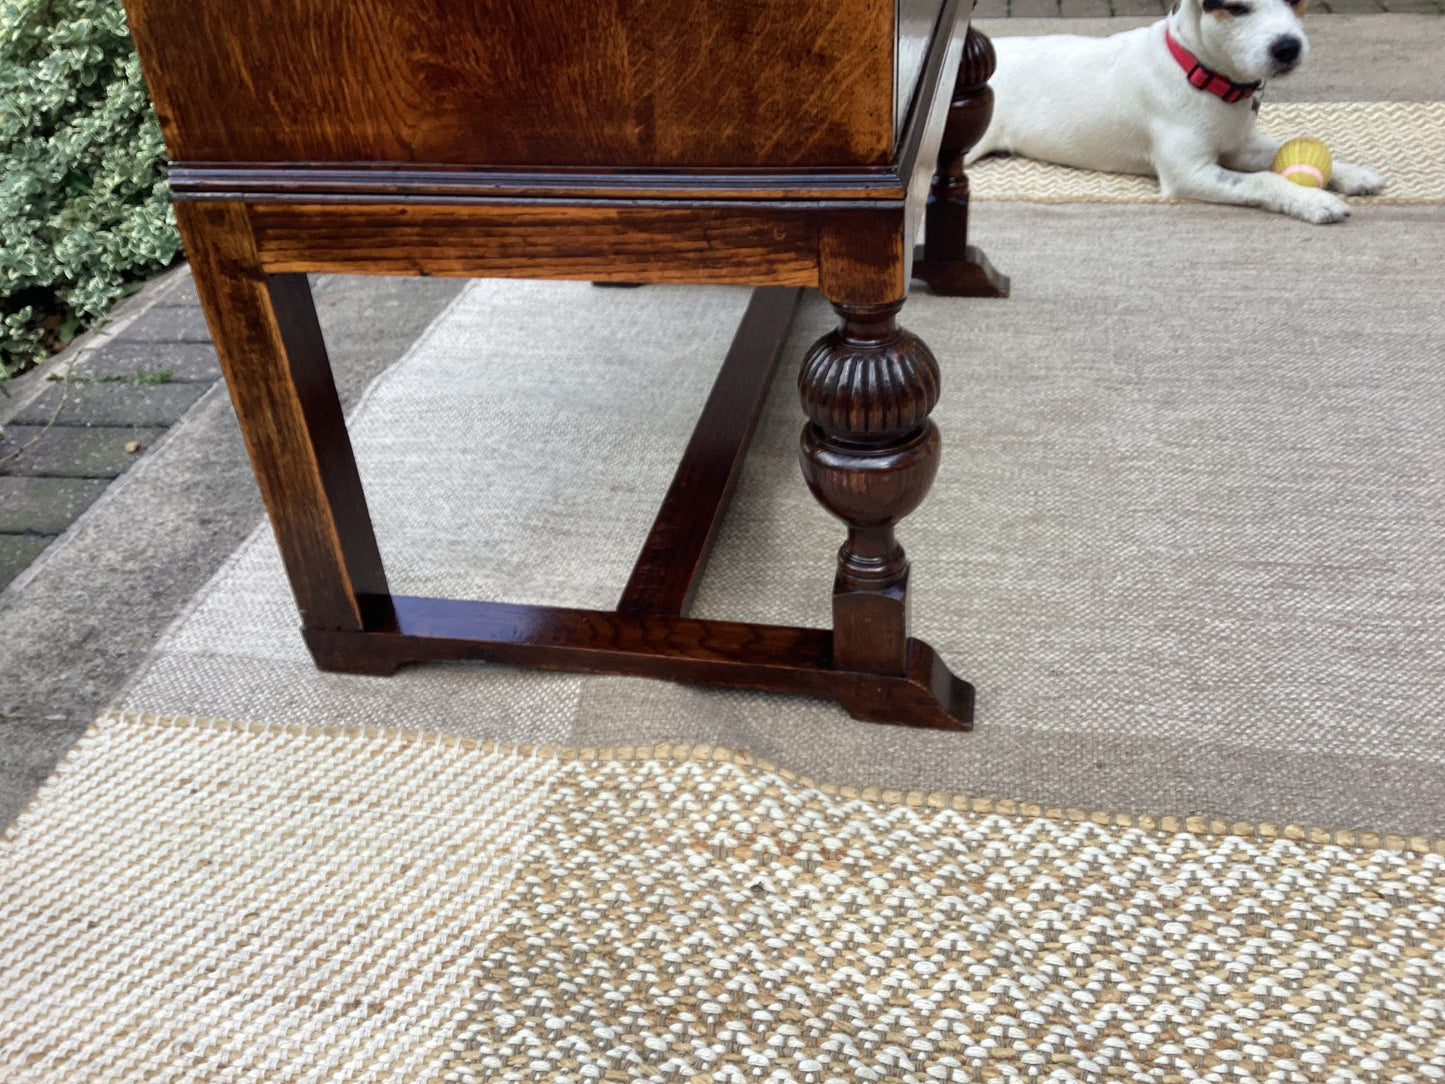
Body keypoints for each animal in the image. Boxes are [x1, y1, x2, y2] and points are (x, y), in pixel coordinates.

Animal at [965, 0, 1381, 222]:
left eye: (1295, 1)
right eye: (1237, 8)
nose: (1288, 47)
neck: (1202, 73)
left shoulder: (1240, 145)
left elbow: (1281, 149)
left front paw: (1353, 173)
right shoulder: (1189, 173)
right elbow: (1263, 180)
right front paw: (1314, 200)